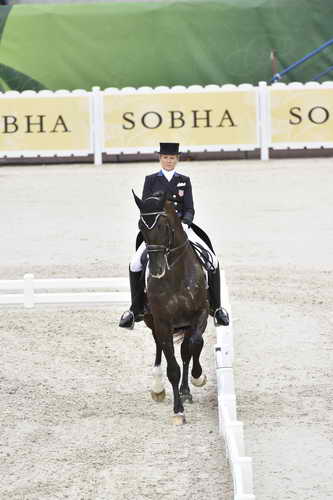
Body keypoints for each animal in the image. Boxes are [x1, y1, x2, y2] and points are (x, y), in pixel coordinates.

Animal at [132, 189, 208, 424]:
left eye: (164, 226)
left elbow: (194, 345)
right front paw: (178, 411)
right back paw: (158, 387)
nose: (157, 270)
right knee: (159, 347)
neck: (176, 274)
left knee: (186, 350)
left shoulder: (200, 314)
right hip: (153, 321)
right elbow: (172, 367)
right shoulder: (163, 321)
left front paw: (198, 377)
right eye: (141, 226)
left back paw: (186, 389)